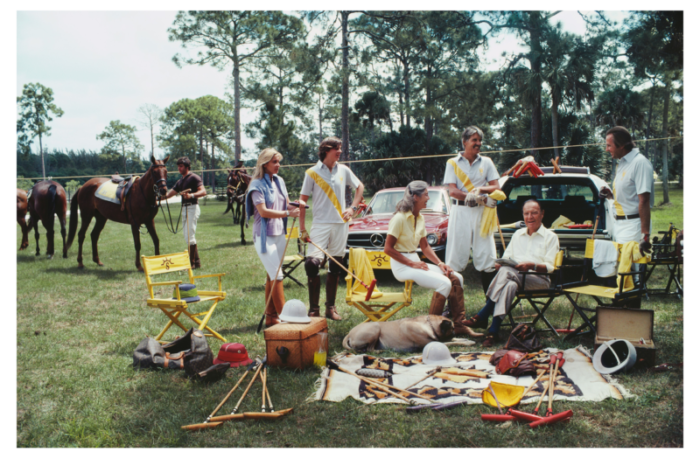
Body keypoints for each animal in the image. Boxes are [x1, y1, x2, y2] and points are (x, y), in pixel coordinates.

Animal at [340, 314, 478, 354]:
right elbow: (451, 342)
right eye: (452, 328)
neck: (428, 325)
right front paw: (468, 342)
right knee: (369, 349)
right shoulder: (434, 342)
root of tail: (349, 334)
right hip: (375, 327)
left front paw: (467, 340)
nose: (454, 332)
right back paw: (380, 351)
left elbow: (455, 340)